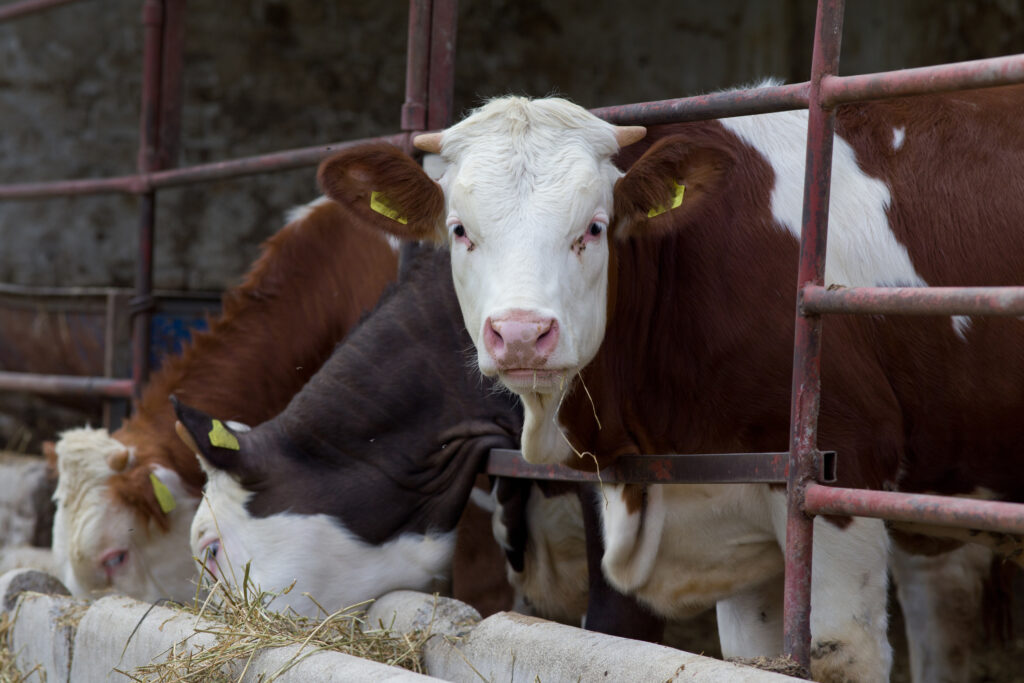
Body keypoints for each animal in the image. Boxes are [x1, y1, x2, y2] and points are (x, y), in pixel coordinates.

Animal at [316, 86, 1024, 682]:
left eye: (594, 226)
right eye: (461, 230)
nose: (520, 333)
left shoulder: (841, 471)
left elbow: (835, 655)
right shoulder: (738, 515)